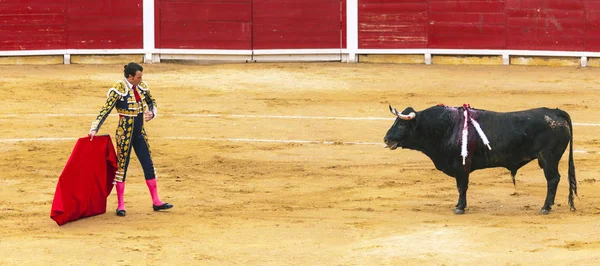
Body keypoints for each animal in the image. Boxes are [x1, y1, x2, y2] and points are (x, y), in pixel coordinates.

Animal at [384, 105, 576, 215]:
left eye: (401, 124)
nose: (386, 139)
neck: (446, 127)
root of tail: (556, 112)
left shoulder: (461, 166)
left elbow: (462, 186)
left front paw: (459, 207)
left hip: (548, 158)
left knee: (553, 179)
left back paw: (545, 207)